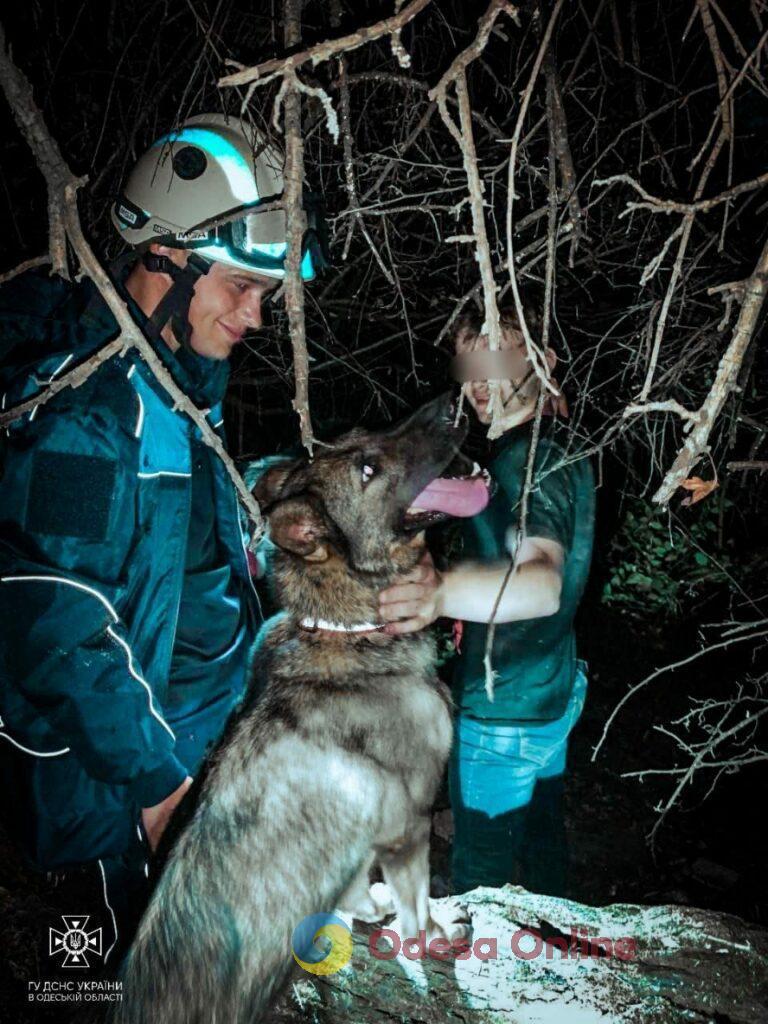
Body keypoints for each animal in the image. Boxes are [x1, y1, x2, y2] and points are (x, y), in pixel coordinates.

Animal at [117, 393, 493, 1024]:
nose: (455, 403)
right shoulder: (408, 826)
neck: (346, 631)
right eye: (366, 468)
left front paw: (370, 906)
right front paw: (437, 933)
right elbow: (417, 912)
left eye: (368, 428)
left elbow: (362, 889)